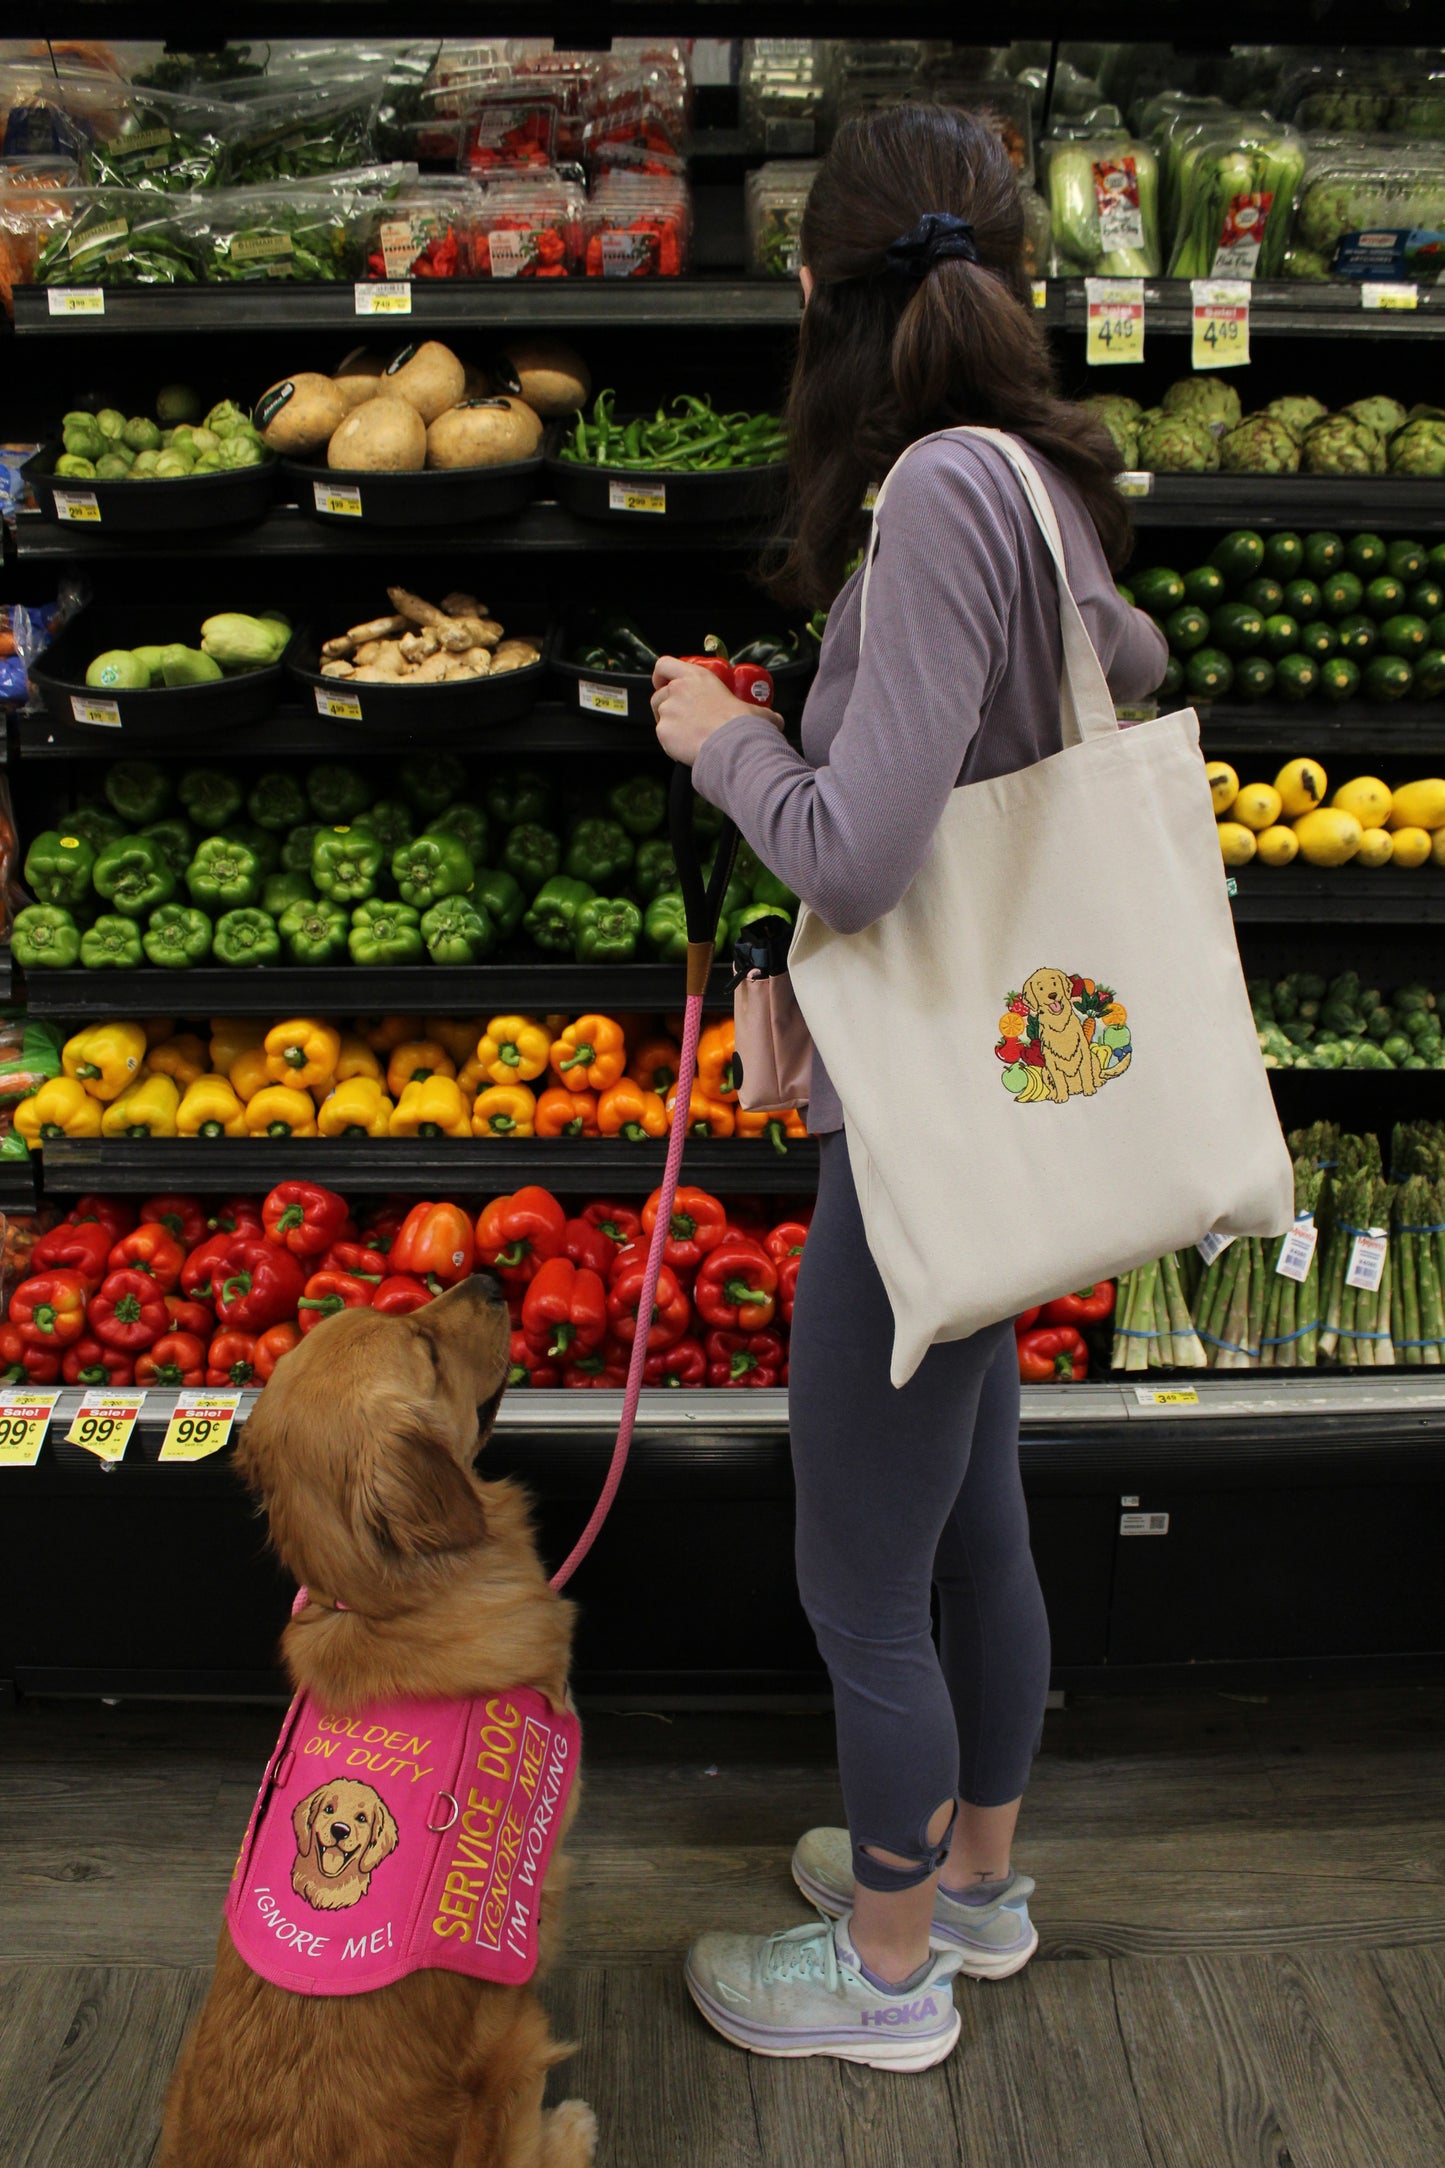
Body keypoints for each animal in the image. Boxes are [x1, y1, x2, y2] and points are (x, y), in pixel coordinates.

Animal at [1022, 966, 1100, 1101]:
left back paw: (1098, 1082)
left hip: (1093, 1057)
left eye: (1054, 983)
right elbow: (1059, 1082)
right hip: (1044, 1071)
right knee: (1053, 1085)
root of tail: (1075, 1090)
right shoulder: (1050, 1063)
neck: (1059, 1026)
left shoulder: (1084, 1053)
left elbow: (1086, 1074)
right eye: (1041, 988)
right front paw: (1061, 1097)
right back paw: (1054, 1094)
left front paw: (1089, 1089)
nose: (1053, 995)